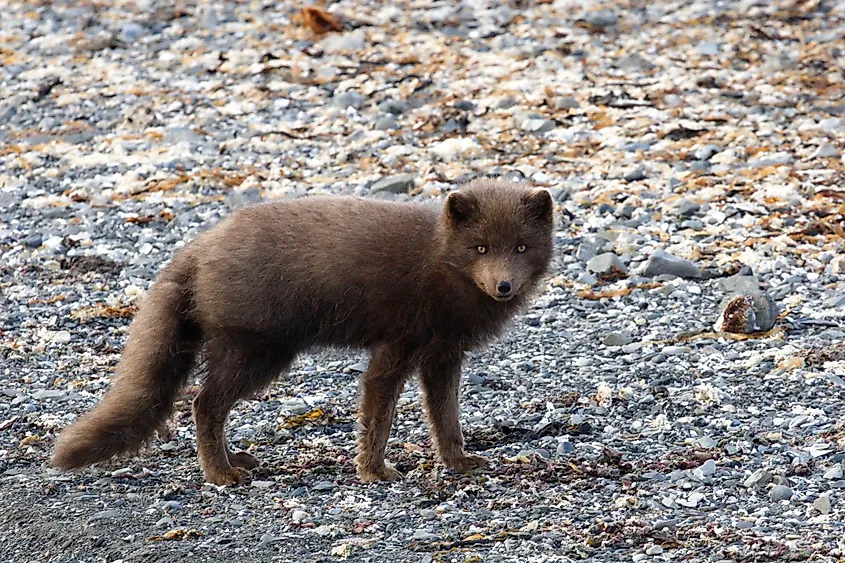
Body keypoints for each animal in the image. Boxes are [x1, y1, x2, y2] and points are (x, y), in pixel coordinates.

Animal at [51, 180, 552, 484]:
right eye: (480, 248)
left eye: (521, 247)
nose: (504, 286)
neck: (440, 264)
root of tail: (200, 245)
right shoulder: (394, 348)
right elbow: (379, 416)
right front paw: (374, 471)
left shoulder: (444, 356)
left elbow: (445, 417)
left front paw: (458, 463)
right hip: (257, 350)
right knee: (203, 403)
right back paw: (221, 474)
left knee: (208, 404)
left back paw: (234, 461)